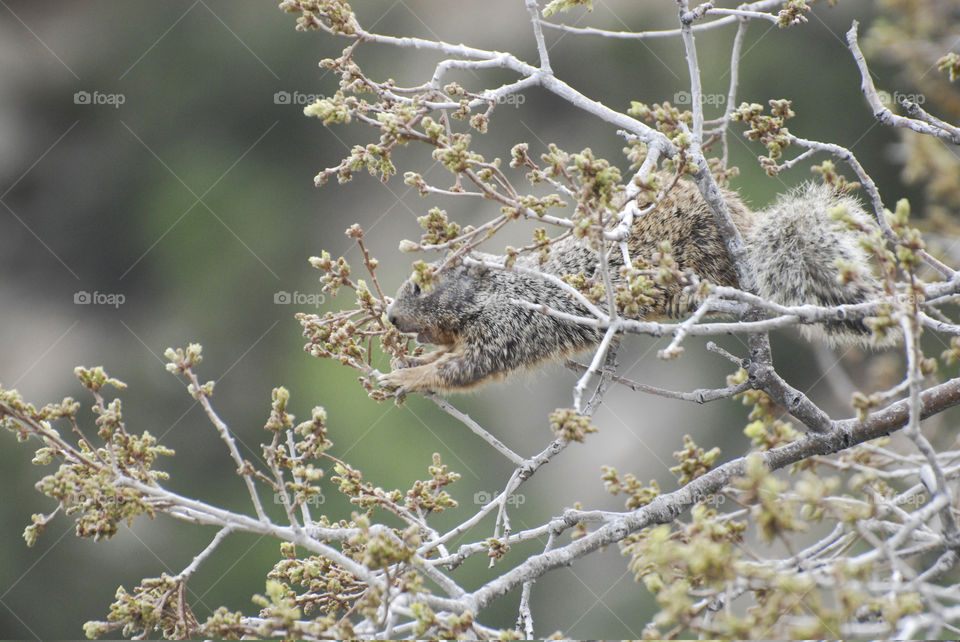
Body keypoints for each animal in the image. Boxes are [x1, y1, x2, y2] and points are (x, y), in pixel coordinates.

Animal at [379, 175, 886, 395]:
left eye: (421, 286)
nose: (390, 316)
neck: (491, 293)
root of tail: (748, 230)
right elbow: (447, 358)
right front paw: (416, 359)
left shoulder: (508, 328)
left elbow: (466, 369)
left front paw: (405, 377)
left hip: (704, 255)